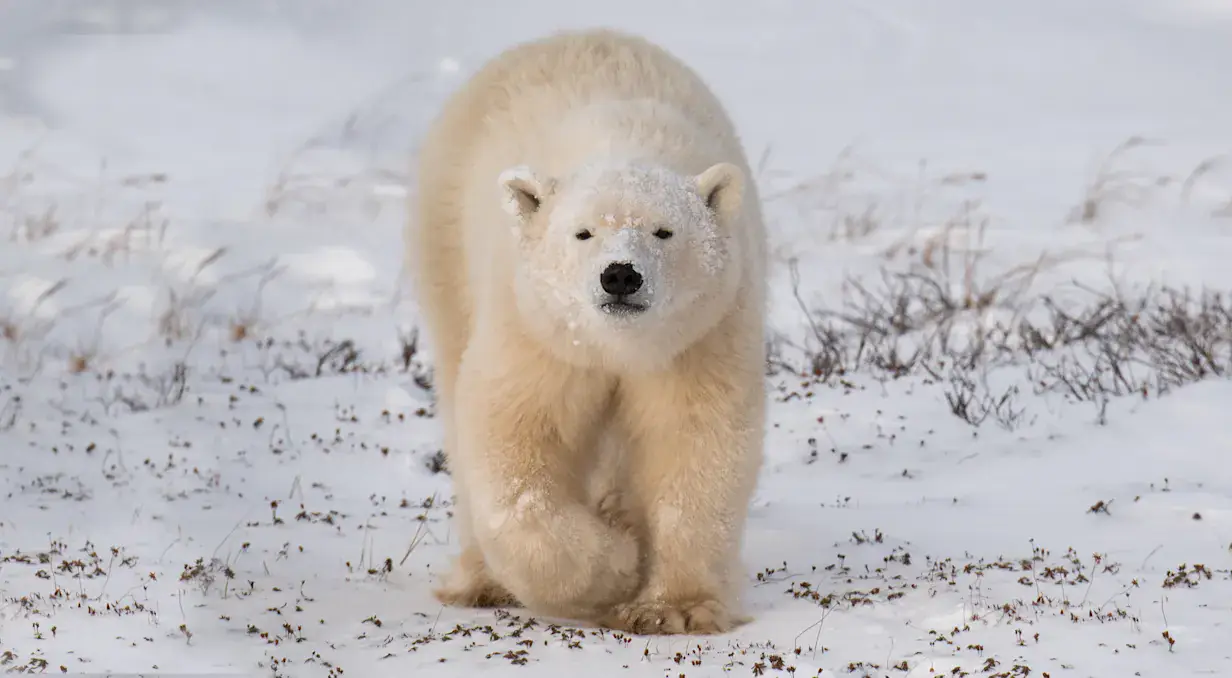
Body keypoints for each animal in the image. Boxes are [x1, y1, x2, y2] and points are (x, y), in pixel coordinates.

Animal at [404, 28, 767, 635]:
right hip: (446, 247)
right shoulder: (537, 331)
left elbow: (694, 441)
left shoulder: (700, 336)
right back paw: (482, 580)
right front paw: (617, 566)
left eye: (664, 231)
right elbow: (514, 442)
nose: (621, 275)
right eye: (583, 233)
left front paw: (671, 607)